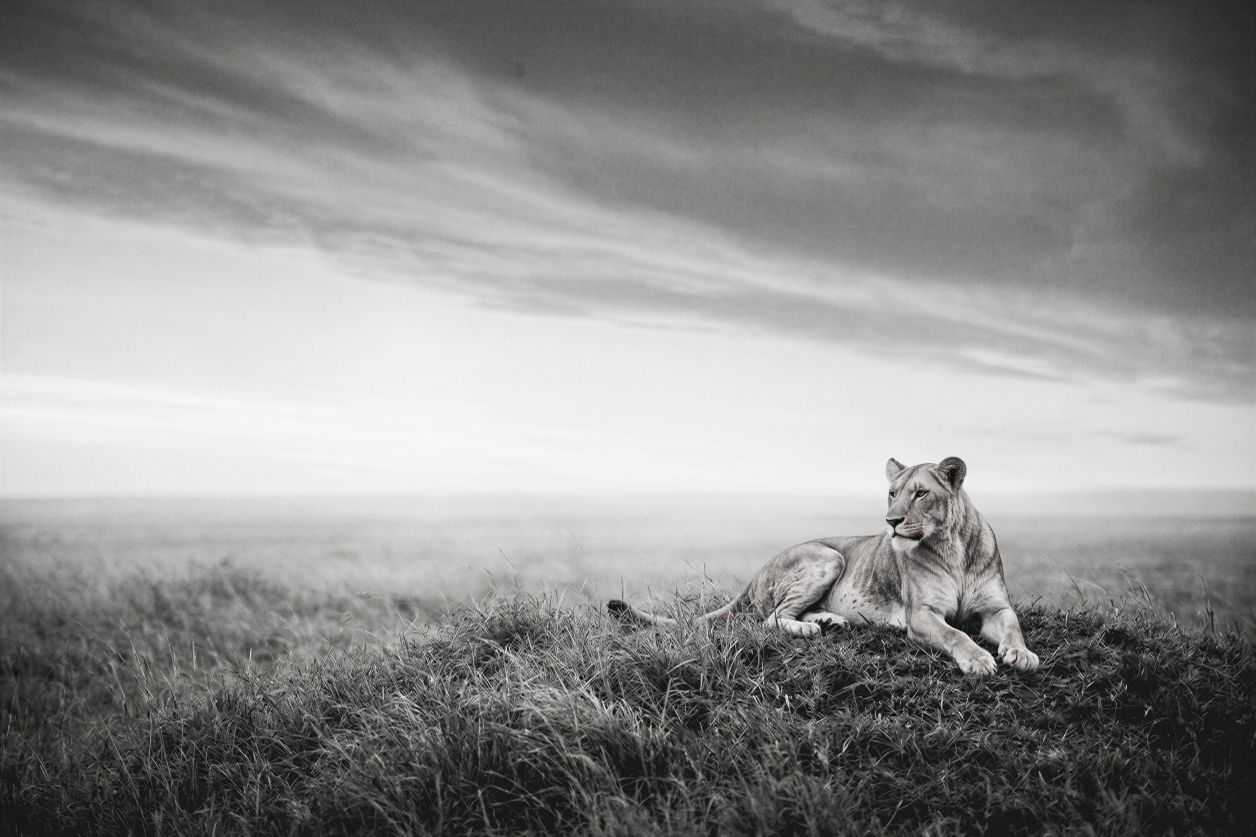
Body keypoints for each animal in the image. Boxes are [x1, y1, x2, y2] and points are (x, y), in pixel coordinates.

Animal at [608, 457, 1039, 675]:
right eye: (892, 493)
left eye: (920, 494)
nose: (891, 522)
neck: (952, 547)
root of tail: (756, 572)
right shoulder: (922, 615)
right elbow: (956, 634)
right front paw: (979, 659)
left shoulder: (995, 607)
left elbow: (1013, 625)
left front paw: (1022, 655)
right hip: (829, 556)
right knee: (772, 618)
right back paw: (809, 628)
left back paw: (828, 621)